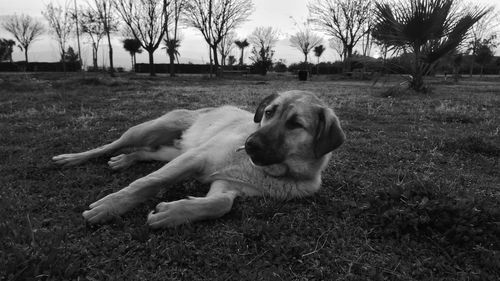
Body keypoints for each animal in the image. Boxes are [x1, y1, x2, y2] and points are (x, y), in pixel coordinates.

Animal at [52, 89, 346, 228]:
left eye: (295, 124)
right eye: (269, 113)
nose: (249, 144)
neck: (269, 171)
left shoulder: (226, 185)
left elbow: (220, 205)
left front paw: (173, 213)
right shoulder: (196, 158)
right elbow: (146, 184)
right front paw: (110, 206)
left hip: (171, 151)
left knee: (144, 152)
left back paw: (124, 160)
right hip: (150, 131)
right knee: (110, 146)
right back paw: (72, 158)